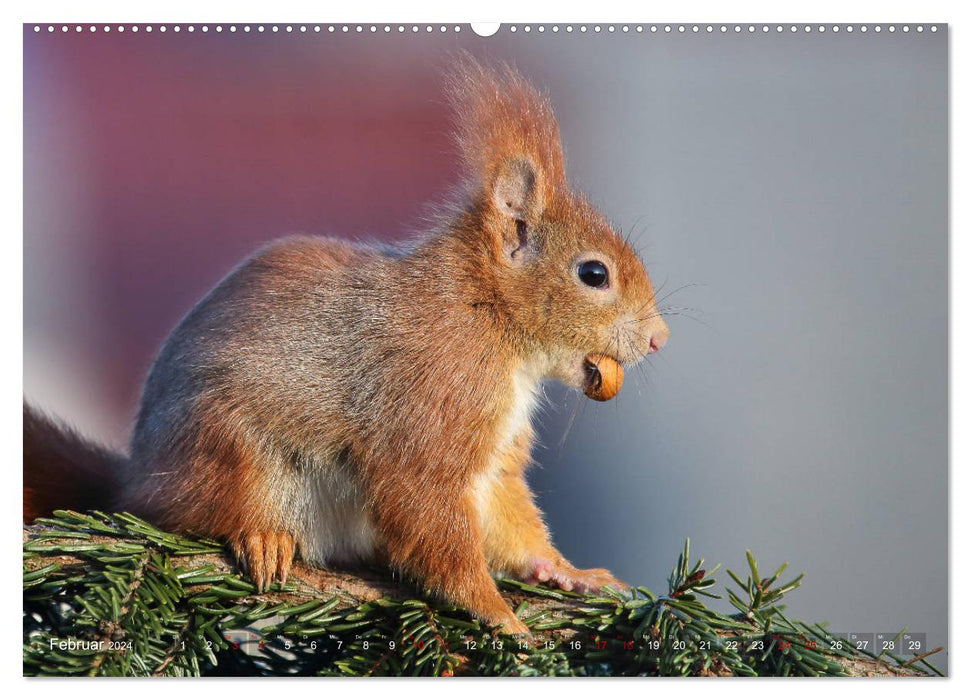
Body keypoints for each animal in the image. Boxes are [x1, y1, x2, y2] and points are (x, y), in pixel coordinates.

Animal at [26, 60, 672, 636]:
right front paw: (498, 614)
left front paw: (567, 572)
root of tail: (137, 476)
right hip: (228, 452)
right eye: (593, 274)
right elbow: (430, 512)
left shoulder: (494, 457)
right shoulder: (430, 408)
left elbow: (508, 520)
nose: (659, 338)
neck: (486, 319)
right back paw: (263, 538)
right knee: (199, 516)